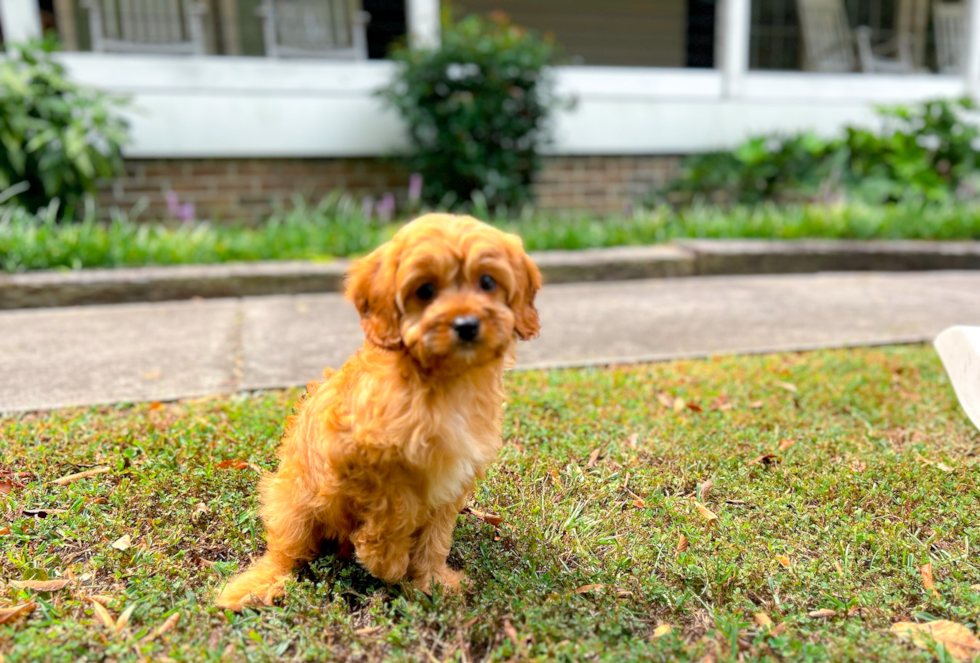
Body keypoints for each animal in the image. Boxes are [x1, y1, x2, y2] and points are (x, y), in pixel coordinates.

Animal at [212, 214, 544, 612]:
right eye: (425, 290)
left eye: (488, 282)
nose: (466, 325)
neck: (444, 382)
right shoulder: (358, 458)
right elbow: (396, 510)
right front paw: (386, 563)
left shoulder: (453, 476)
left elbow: (436, 536)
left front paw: (432, 580)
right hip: (292, 501)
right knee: (287, 550)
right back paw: (263, 581)